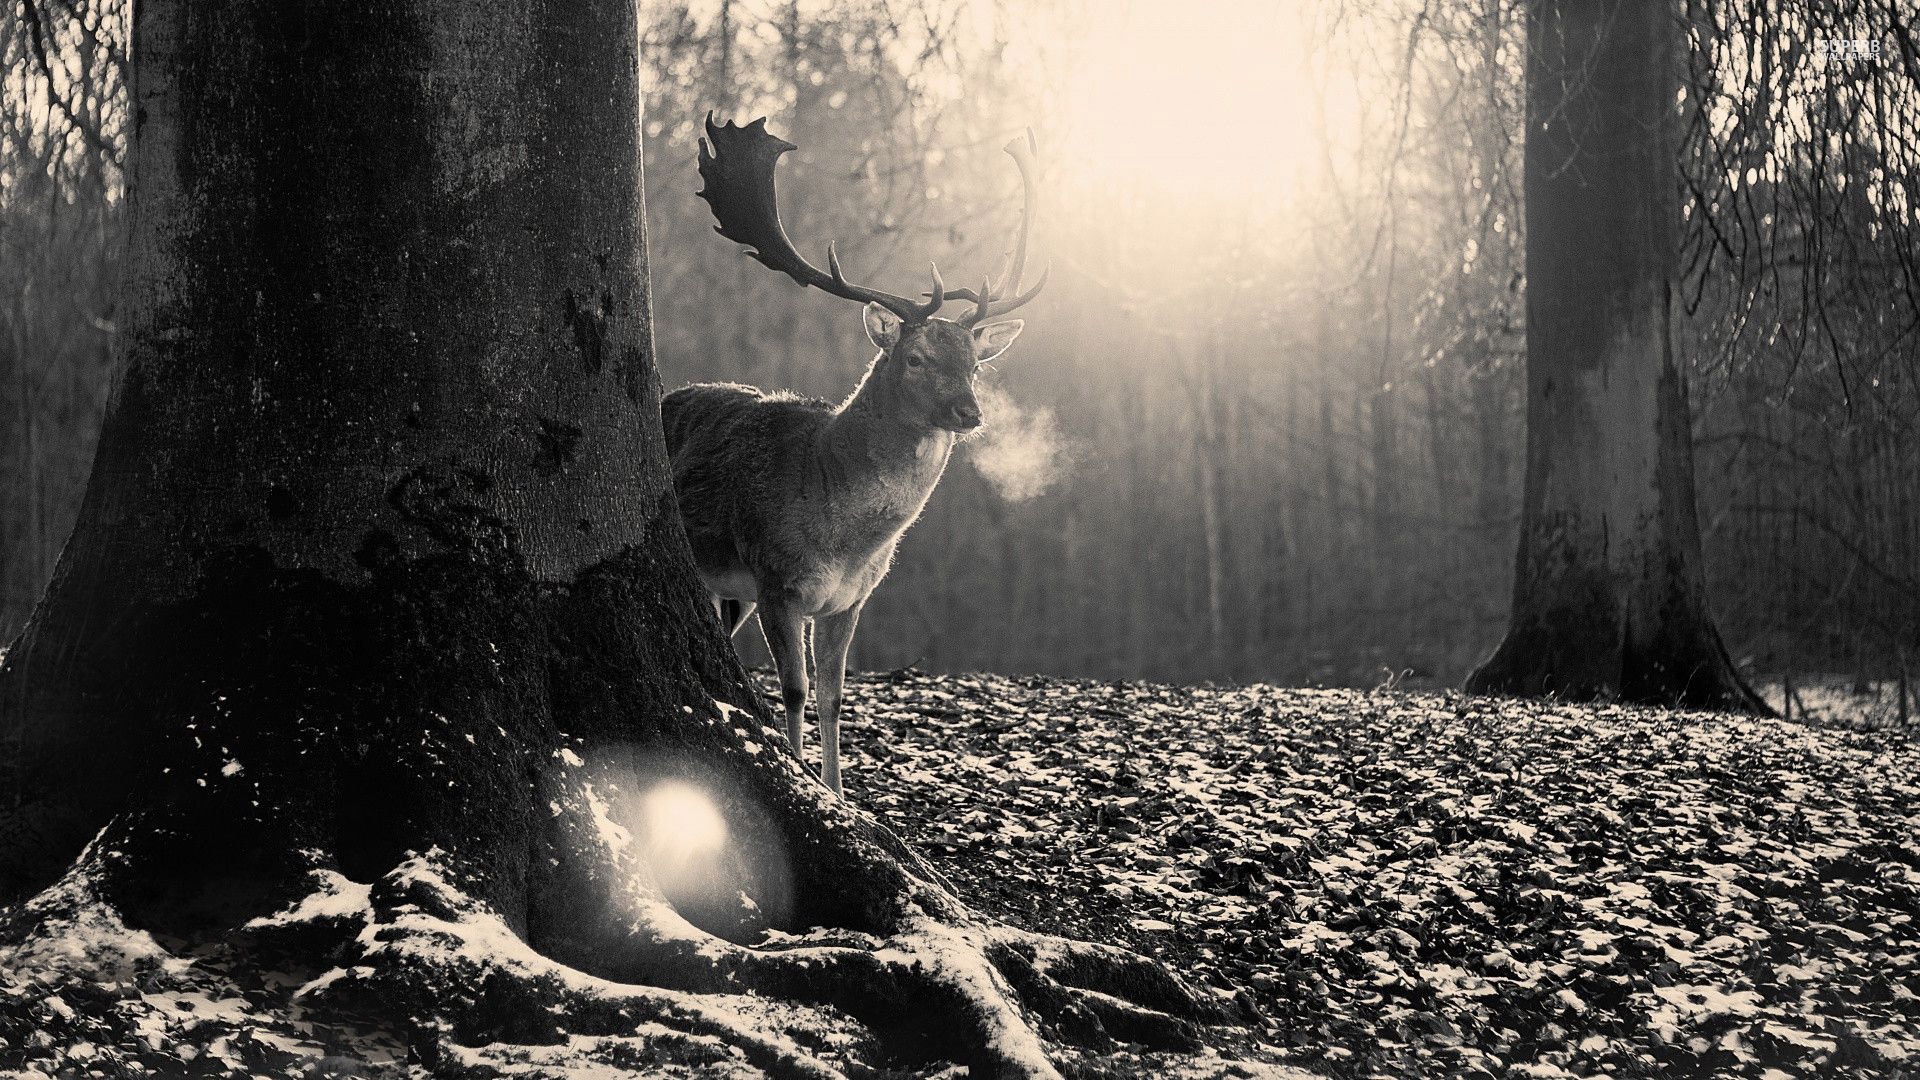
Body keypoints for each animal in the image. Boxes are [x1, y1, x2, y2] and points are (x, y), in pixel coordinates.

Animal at [662, 115, 1046, 796]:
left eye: (975, 364)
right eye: (915, 357)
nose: (969, 413)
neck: (845, 537)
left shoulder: (852, 600)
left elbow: (834, 695)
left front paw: (842, 793)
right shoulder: (777, 581)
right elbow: (792, 690)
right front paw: (801, 775)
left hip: (729, 591)